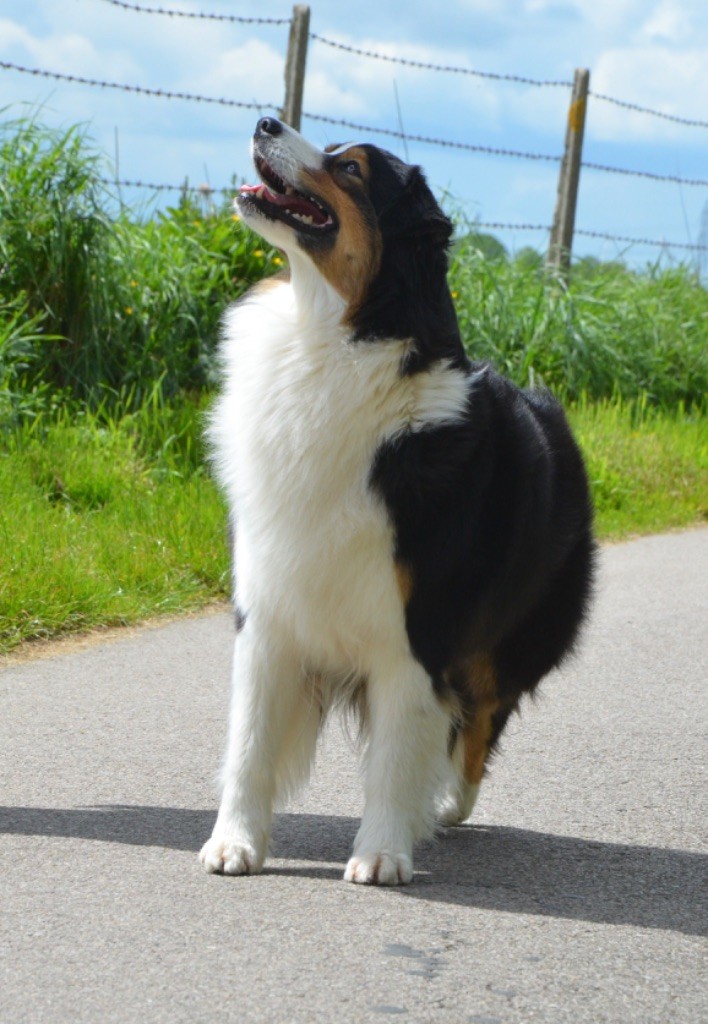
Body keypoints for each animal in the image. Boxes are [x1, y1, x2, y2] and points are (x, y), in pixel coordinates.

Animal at [197, 117, 594, 888]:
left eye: (349, 169)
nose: (265, 122)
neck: (330, 338)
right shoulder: (268, 612)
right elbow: (248, 745)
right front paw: (234, 844)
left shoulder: (418, 633)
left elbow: (392, 758)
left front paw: (381, 855)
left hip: (508, 640)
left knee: (479, 721)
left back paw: (442, 809)